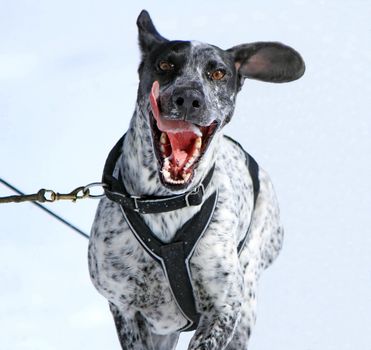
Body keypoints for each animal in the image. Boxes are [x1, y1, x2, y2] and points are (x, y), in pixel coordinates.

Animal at [88, 10, 306, 350]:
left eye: (217, 73)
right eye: (165, 65)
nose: (188, 97)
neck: (165, 203)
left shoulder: (224, 309)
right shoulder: (125, 308)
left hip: (248, 296)